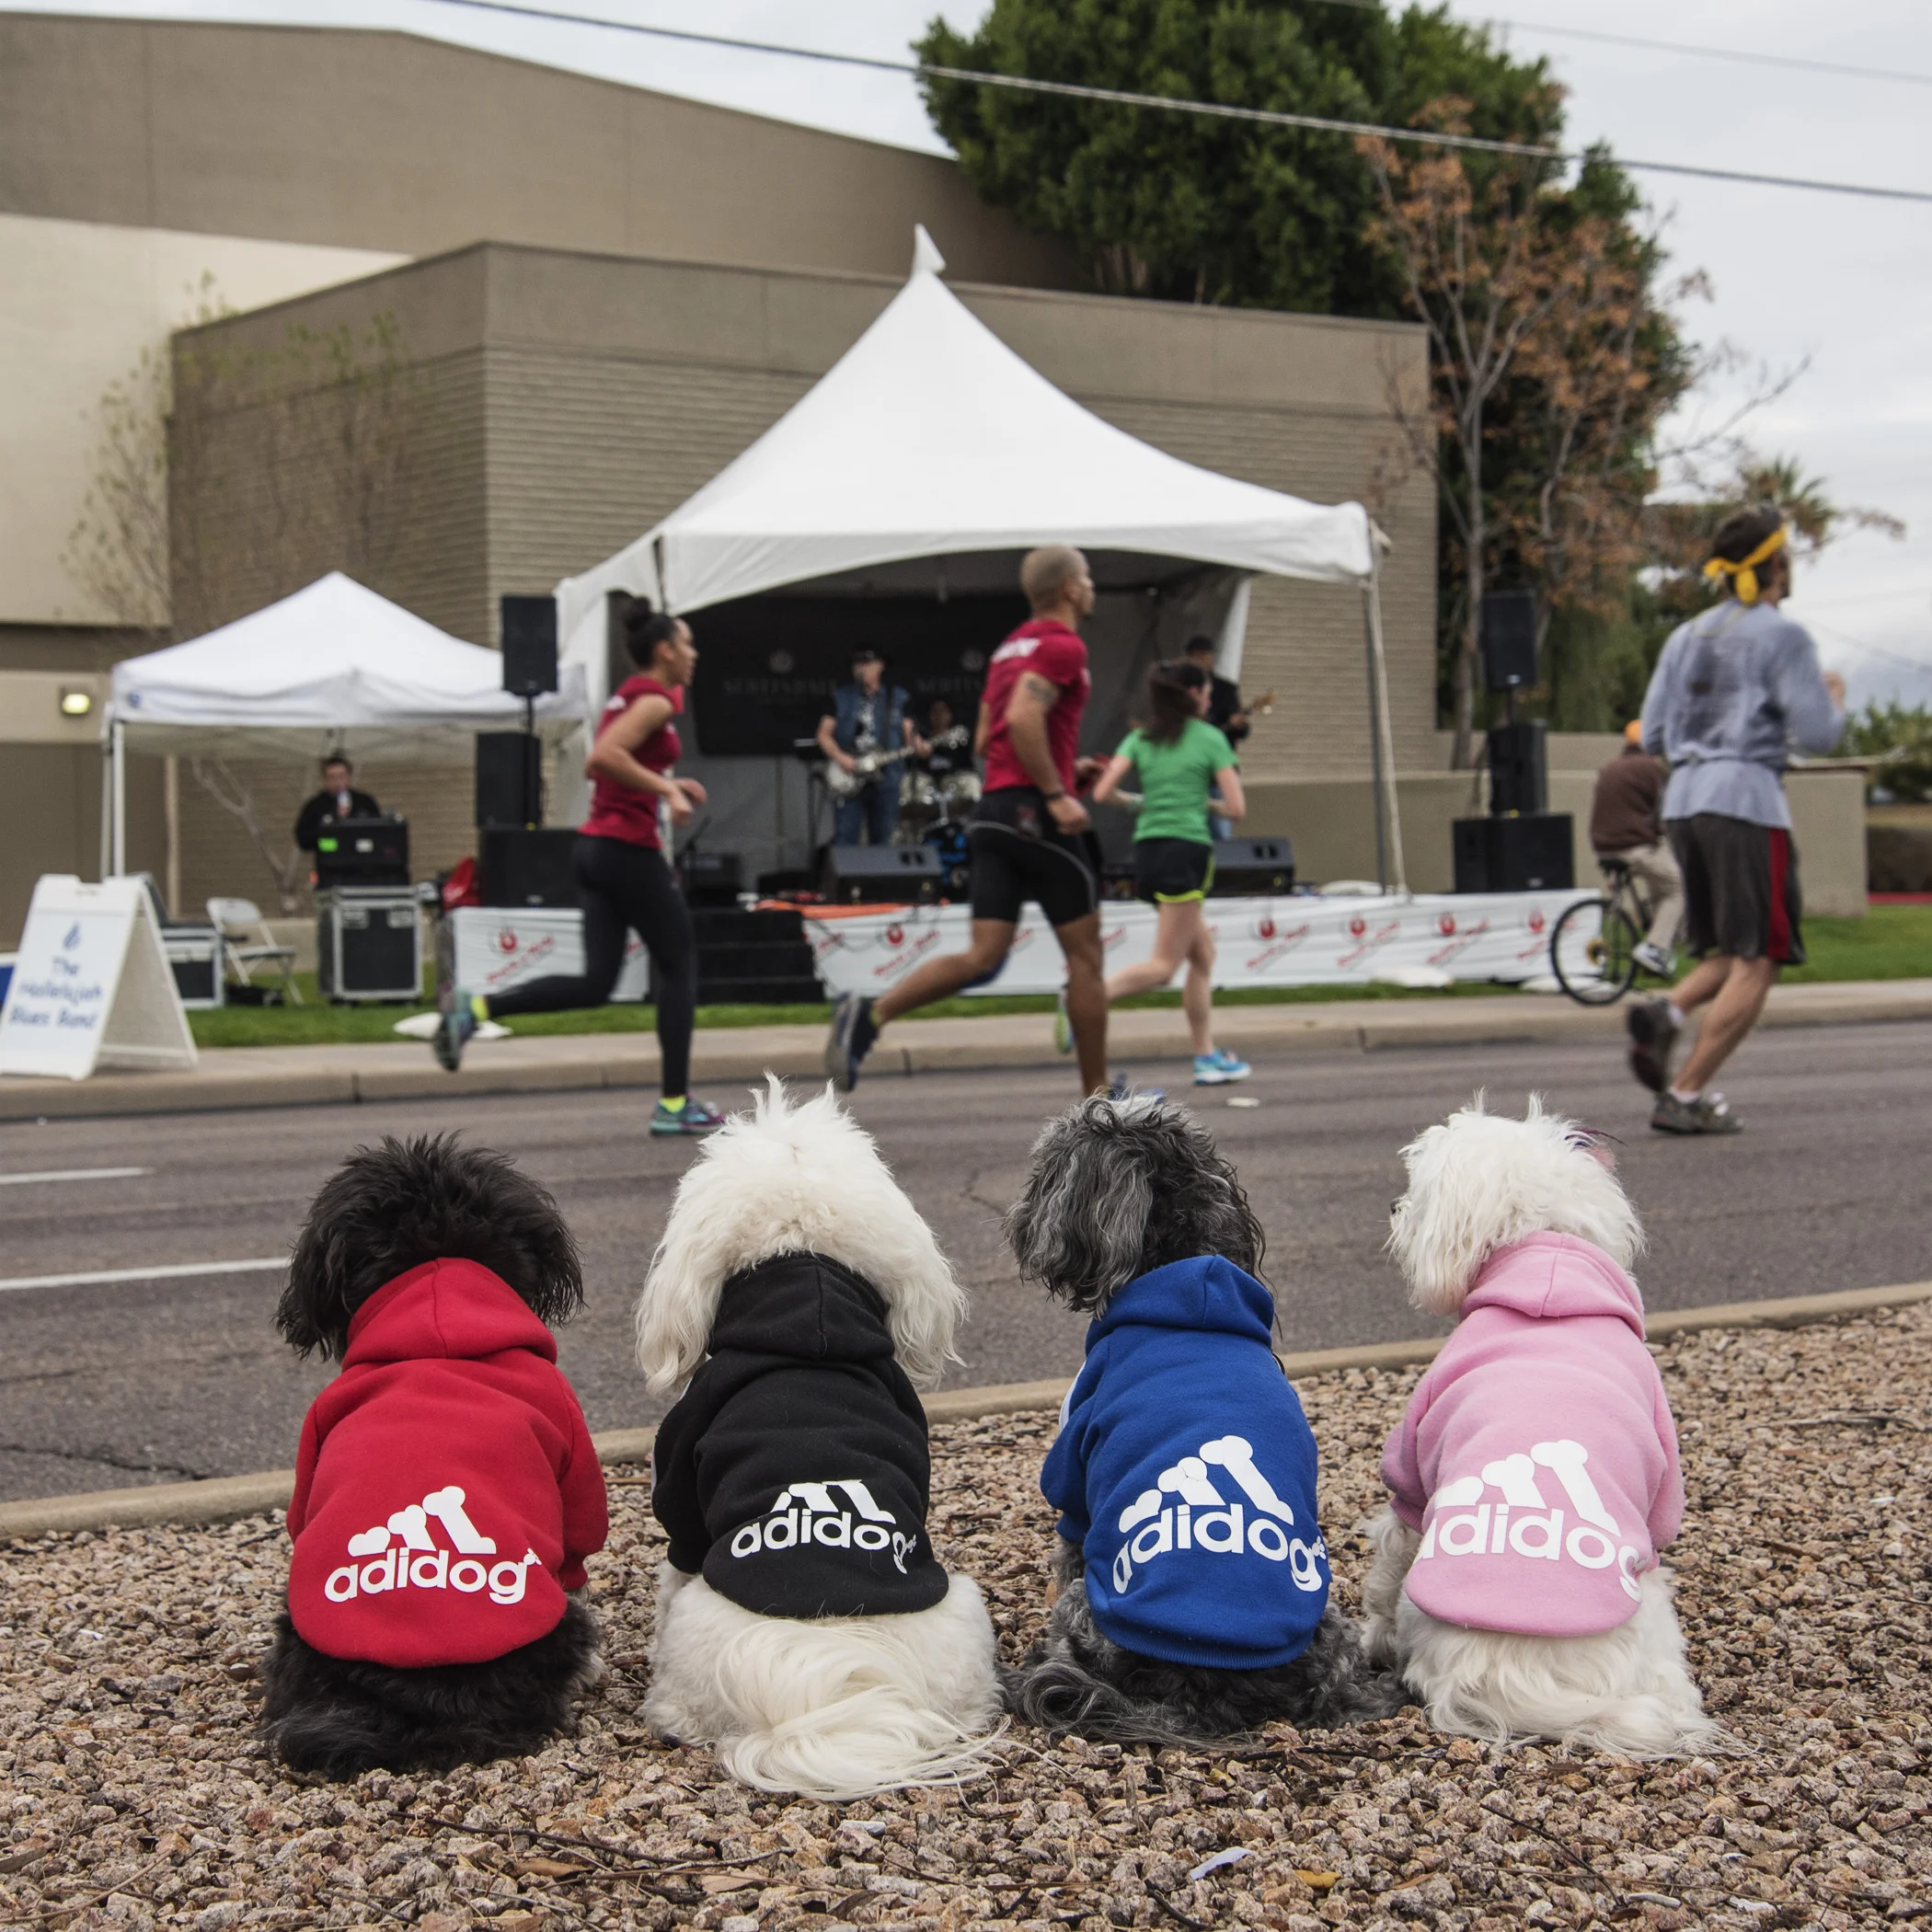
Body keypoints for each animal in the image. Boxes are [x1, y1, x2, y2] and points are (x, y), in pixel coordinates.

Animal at [257, 1128, 603, 1777]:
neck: (435, 1285)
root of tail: (409, 1705)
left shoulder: (311, 1447)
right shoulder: (573, 1450)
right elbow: (581, 1530)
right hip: (557, 1629)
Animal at [1360, 1105, 1723, 1754]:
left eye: (1414, 1194)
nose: (1394, 1207)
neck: (1544, 1255)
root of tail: (1505, 1677)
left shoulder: (1412, 1481)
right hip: (1652, 1609)